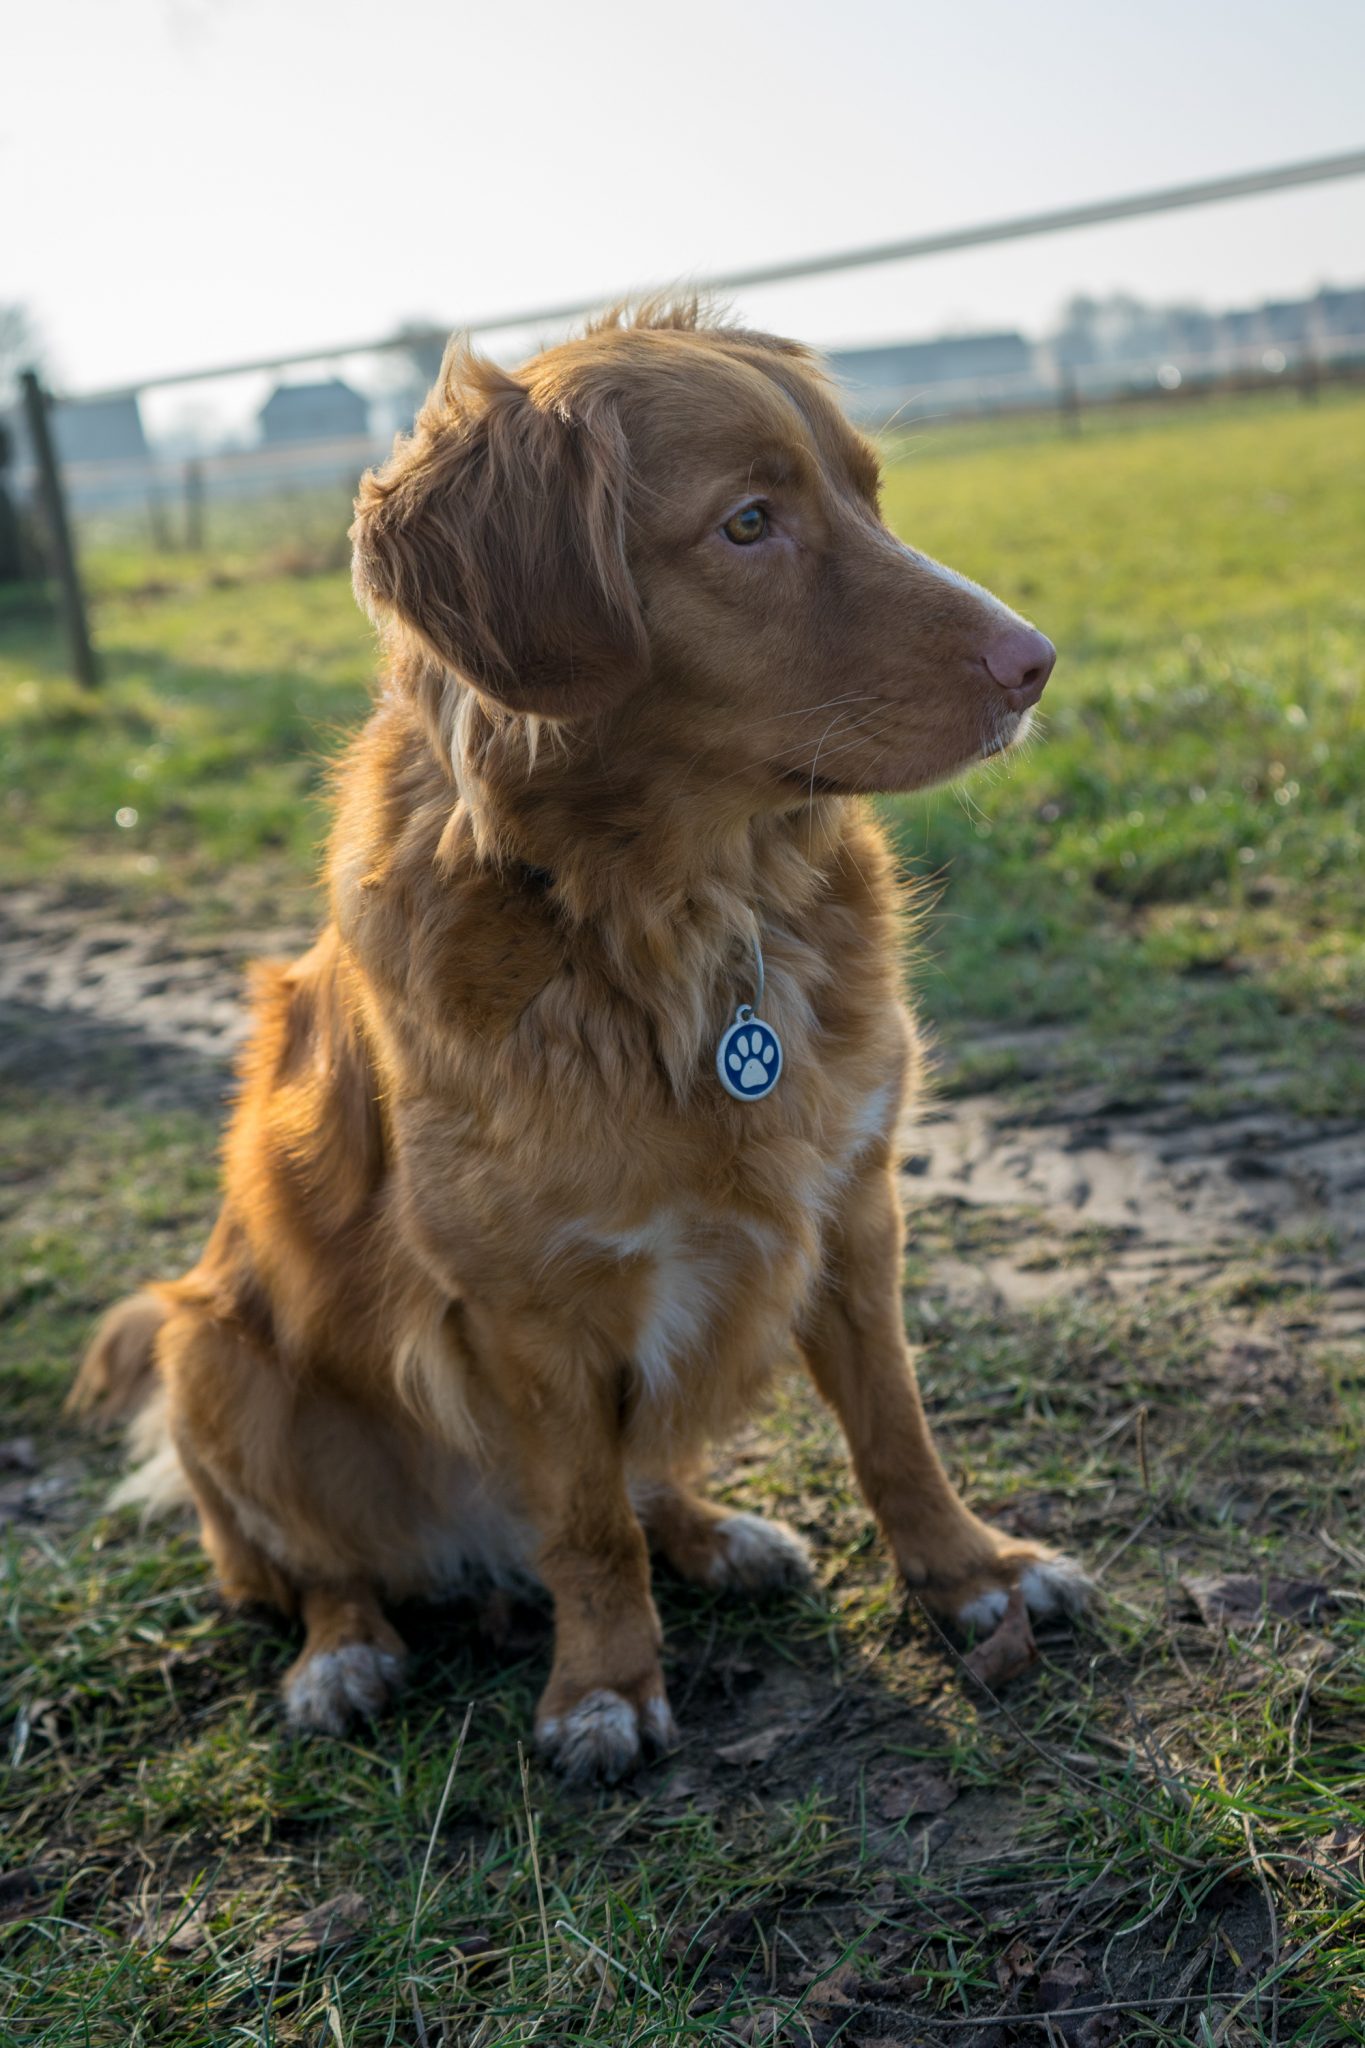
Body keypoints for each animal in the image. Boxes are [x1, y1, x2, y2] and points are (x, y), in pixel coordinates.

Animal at [72, 302, 1088, 1782]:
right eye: (746, 524)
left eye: (866, 493)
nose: (1036, 662)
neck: (686, 917)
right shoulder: (521, 1301)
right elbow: (586, 1522)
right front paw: (604, 1686)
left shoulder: (852, 1206)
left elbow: (894, 1429)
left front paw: (973, 1575)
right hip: (206, 1345)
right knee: (321, 1563)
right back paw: (345, 1655)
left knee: (649, 1484)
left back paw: (719, 1536)